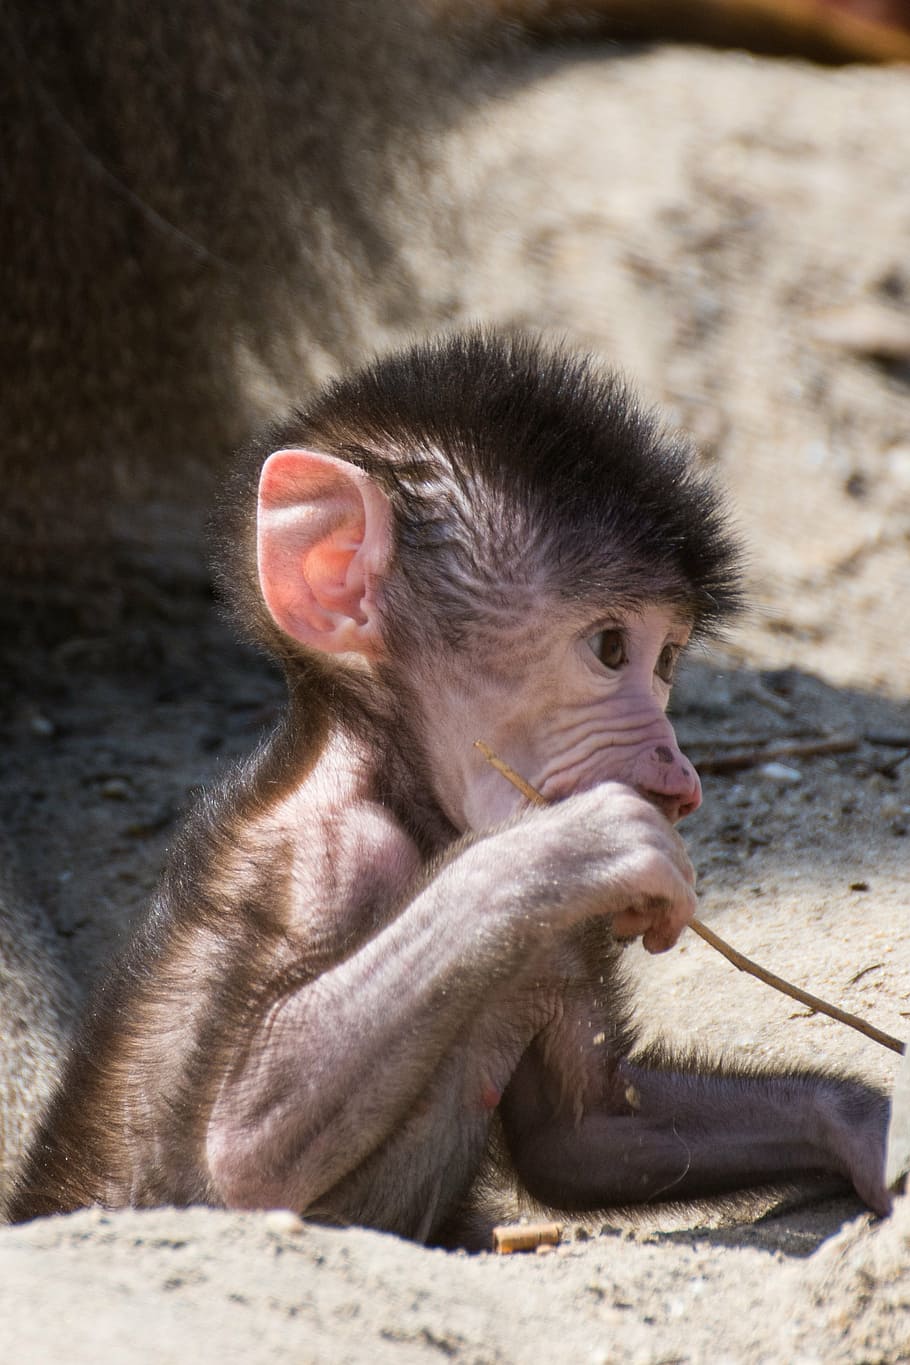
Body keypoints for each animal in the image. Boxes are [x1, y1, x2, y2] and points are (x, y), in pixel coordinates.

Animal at [9, 330, 890, 1241]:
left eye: (667, 659)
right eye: (611, 648)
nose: (678, 778)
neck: (402, 792)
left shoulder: (559, 943)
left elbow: (588, 1134)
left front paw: (871, 1132)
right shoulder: (320, 860)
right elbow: (242, 1161)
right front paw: (568, 845)